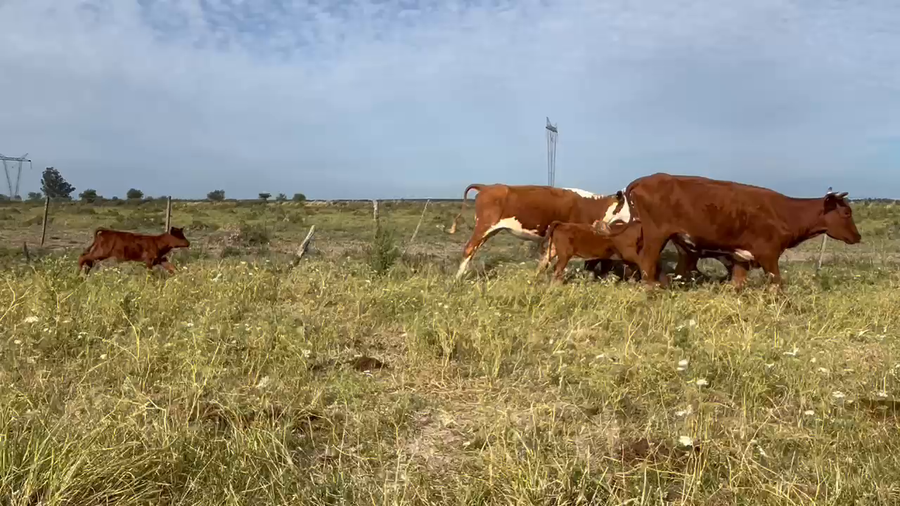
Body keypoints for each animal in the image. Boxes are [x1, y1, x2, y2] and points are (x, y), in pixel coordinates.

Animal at [448, 184, 628, 279]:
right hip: (483, 227)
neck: (592, 206)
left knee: (473, 251)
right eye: (630, 205)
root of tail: (487, 186)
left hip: (489, 231)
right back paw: (457, 279)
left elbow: (545, 260)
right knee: (468, 249)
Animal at [596, 173, 861, 288]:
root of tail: (645, 179)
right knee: (647, 264)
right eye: (847, 213)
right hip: (656, 236)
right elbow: (778, 286)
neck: (785, 212)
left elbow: (737, 285)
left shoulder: (741, 259)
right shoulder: (769, 255)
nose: (858, 236)